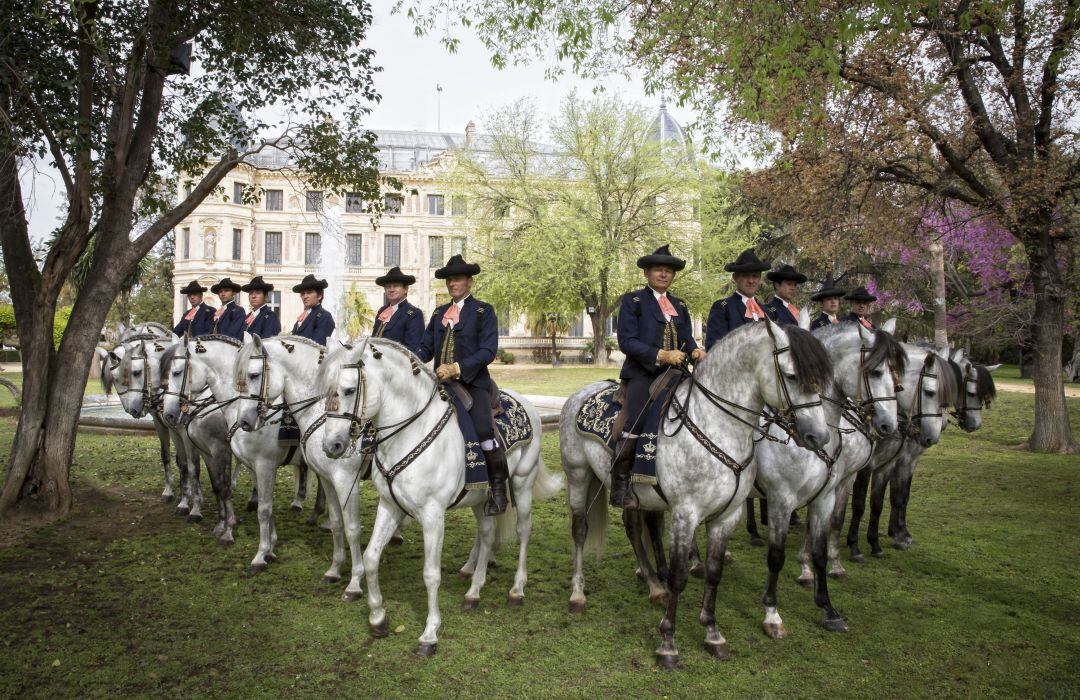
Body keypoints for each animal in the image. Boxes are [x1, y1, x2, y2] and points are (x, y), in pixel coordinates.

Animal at [158, 334, 313, 574]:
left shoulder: (235, 455)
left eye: (176, 372)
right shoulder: (219, 455)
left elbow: (235, 494)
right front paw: (266, 546)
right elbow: (222, 488)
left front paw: (233, 535)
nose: (169, 414)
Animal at [315, 337, 561, 656]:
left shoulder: (433, 515)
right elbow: (370, 558)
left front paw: (429, 635)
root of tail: (527, 404)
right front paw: (378, 618)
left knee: (523, 531)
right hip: (482, 499)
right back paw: (474, 589)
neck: (409, 432)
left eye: (348, 390)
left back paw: (517, 589)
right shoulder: (389, 505)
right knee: (486, 532)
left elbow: (430, 574)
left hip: (522, 483)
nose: (331, 446)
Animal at [561, 317, 829, 665]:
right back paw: (578, 594)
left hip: (634, 496)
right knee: (580, 530)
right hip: (578, 476)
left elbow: (714, 572)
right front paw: (668, 643)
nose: (819, 437)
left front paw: (713, 633)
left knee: (633, 528)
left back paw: (654, 586)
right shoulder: (685, 513)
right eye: (793, 375)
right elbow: (678, 576)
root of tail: (578, 395)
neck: (718, 425)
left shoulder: (726, 516)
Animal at [756, 317, 907, 639]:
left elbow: (821, 548)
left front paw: (827, 606)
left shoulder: (826, 494)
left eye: (896, 372)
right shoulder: (781, 500)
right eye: (876, 372)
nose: (889, 425)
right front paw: (772, 615)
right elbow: (776, 557)